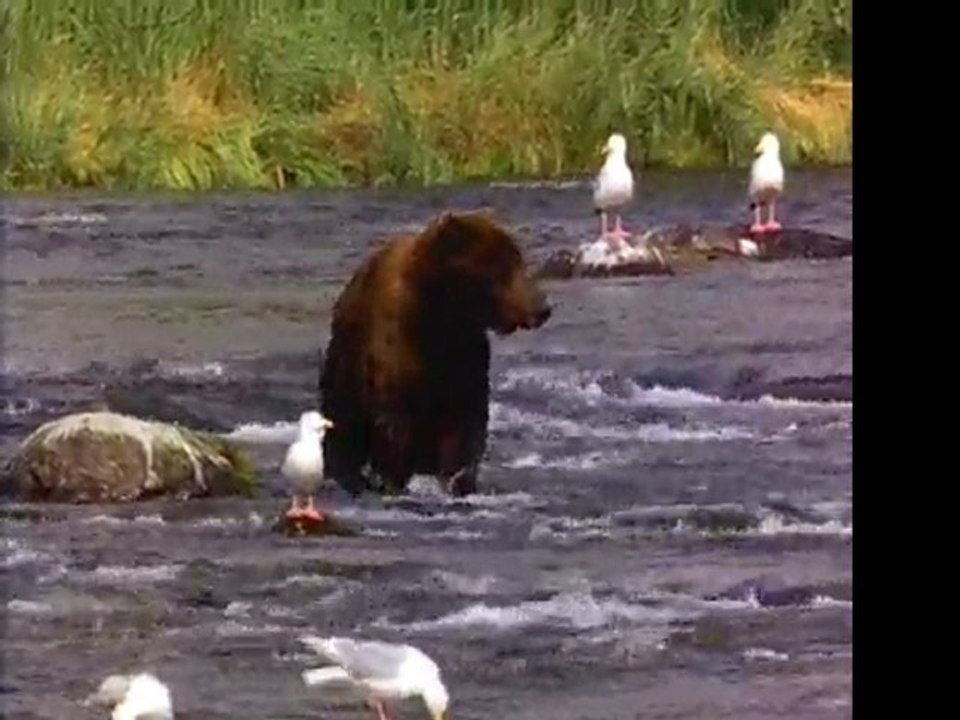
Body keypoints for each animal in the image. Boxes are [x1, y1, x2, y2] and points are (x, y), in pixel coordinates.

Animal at [319, 210, 552, 498]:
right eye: (502, 267)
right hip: (345, 365)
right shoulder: (400, 353)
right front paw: (393, 482)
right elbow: (394, 428)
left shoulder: (464, 358)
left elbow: (465, 429)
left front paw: (458, 482)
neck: (441, 315)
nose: (542, 308)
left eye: (518, 260)